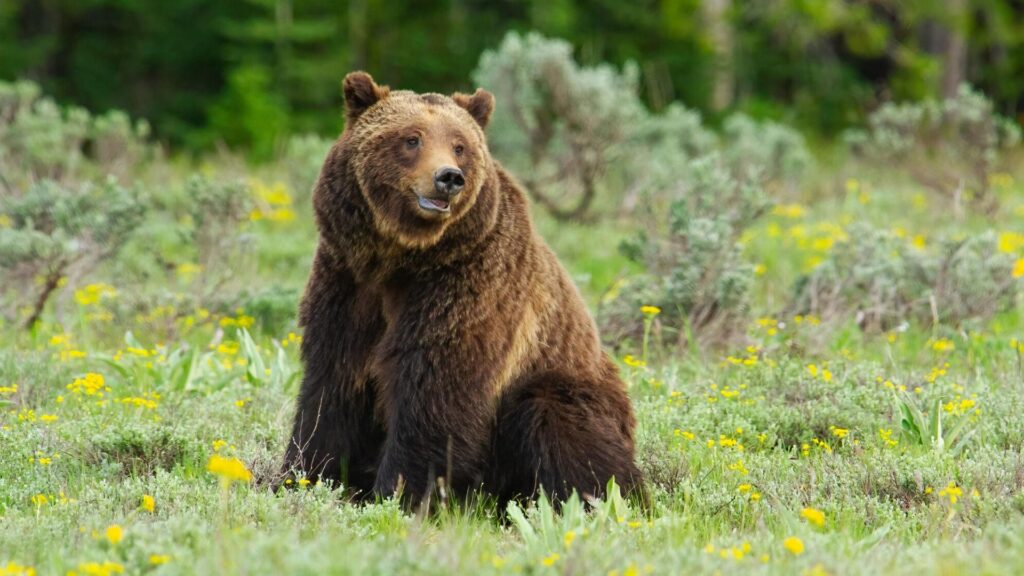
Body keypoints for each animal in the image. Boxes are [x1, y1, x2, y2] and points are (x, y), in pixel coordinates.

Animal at [282, 72, 638, 506]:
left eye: (459, 145)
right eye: (411, 138)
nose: (448, 177)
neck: (402, 257)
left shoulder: (466, 288)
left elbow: (436, 391)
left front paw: (398, 493)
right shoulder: (347, 282)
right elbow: (331, 388)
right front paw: (302, 475)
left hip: (567, 384)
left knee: (560, 425)